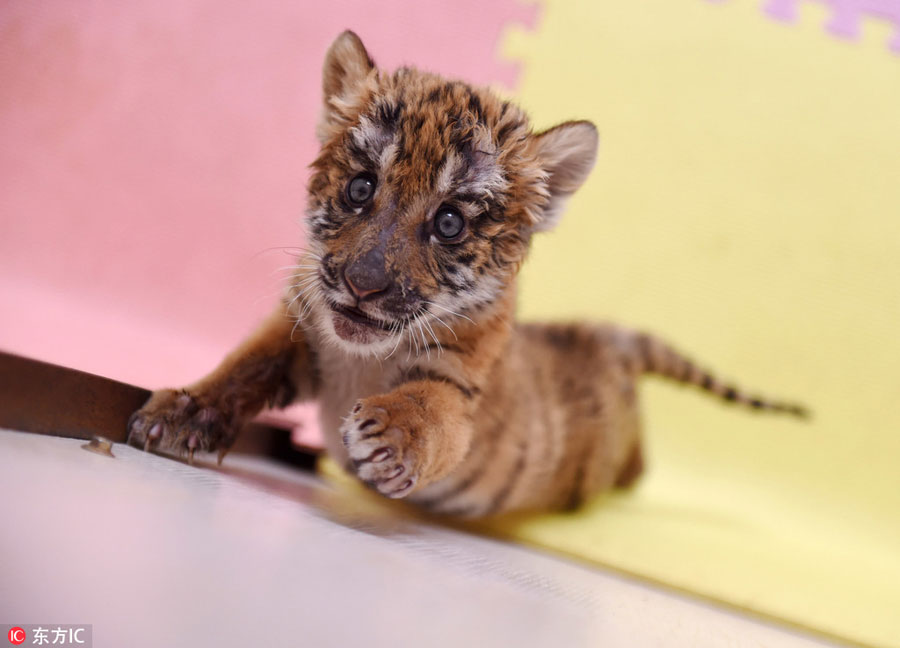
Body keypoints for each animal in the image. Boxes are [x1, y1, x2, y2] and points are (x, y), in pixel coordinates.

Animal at [127, 31, 806, 517]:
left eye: (450, 222)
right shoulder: (297, 328)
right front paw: (183, 412)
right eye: (360, 187)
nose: (363, 284)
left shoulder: (460, 390)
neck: (358, 360)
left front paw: (392, 439)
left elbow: (431, 411)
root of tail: (597, 337)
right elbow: (243, 366)